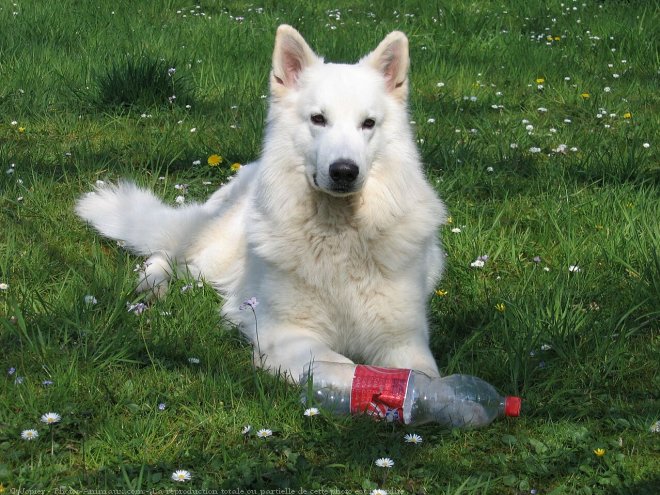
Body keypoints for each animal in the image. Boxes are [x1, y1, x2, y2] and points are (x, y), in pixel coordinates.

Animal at [76, 25, 448, 384]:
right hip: (211, 254)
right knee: (166, 254)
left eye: (368, 124)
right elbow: (343, 366)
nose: (344, 171)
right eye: (318, 119)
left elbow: (422, 375)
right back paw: (151, 286)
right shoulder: (287, 333)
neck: (340, 234)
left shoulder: (404, 340)